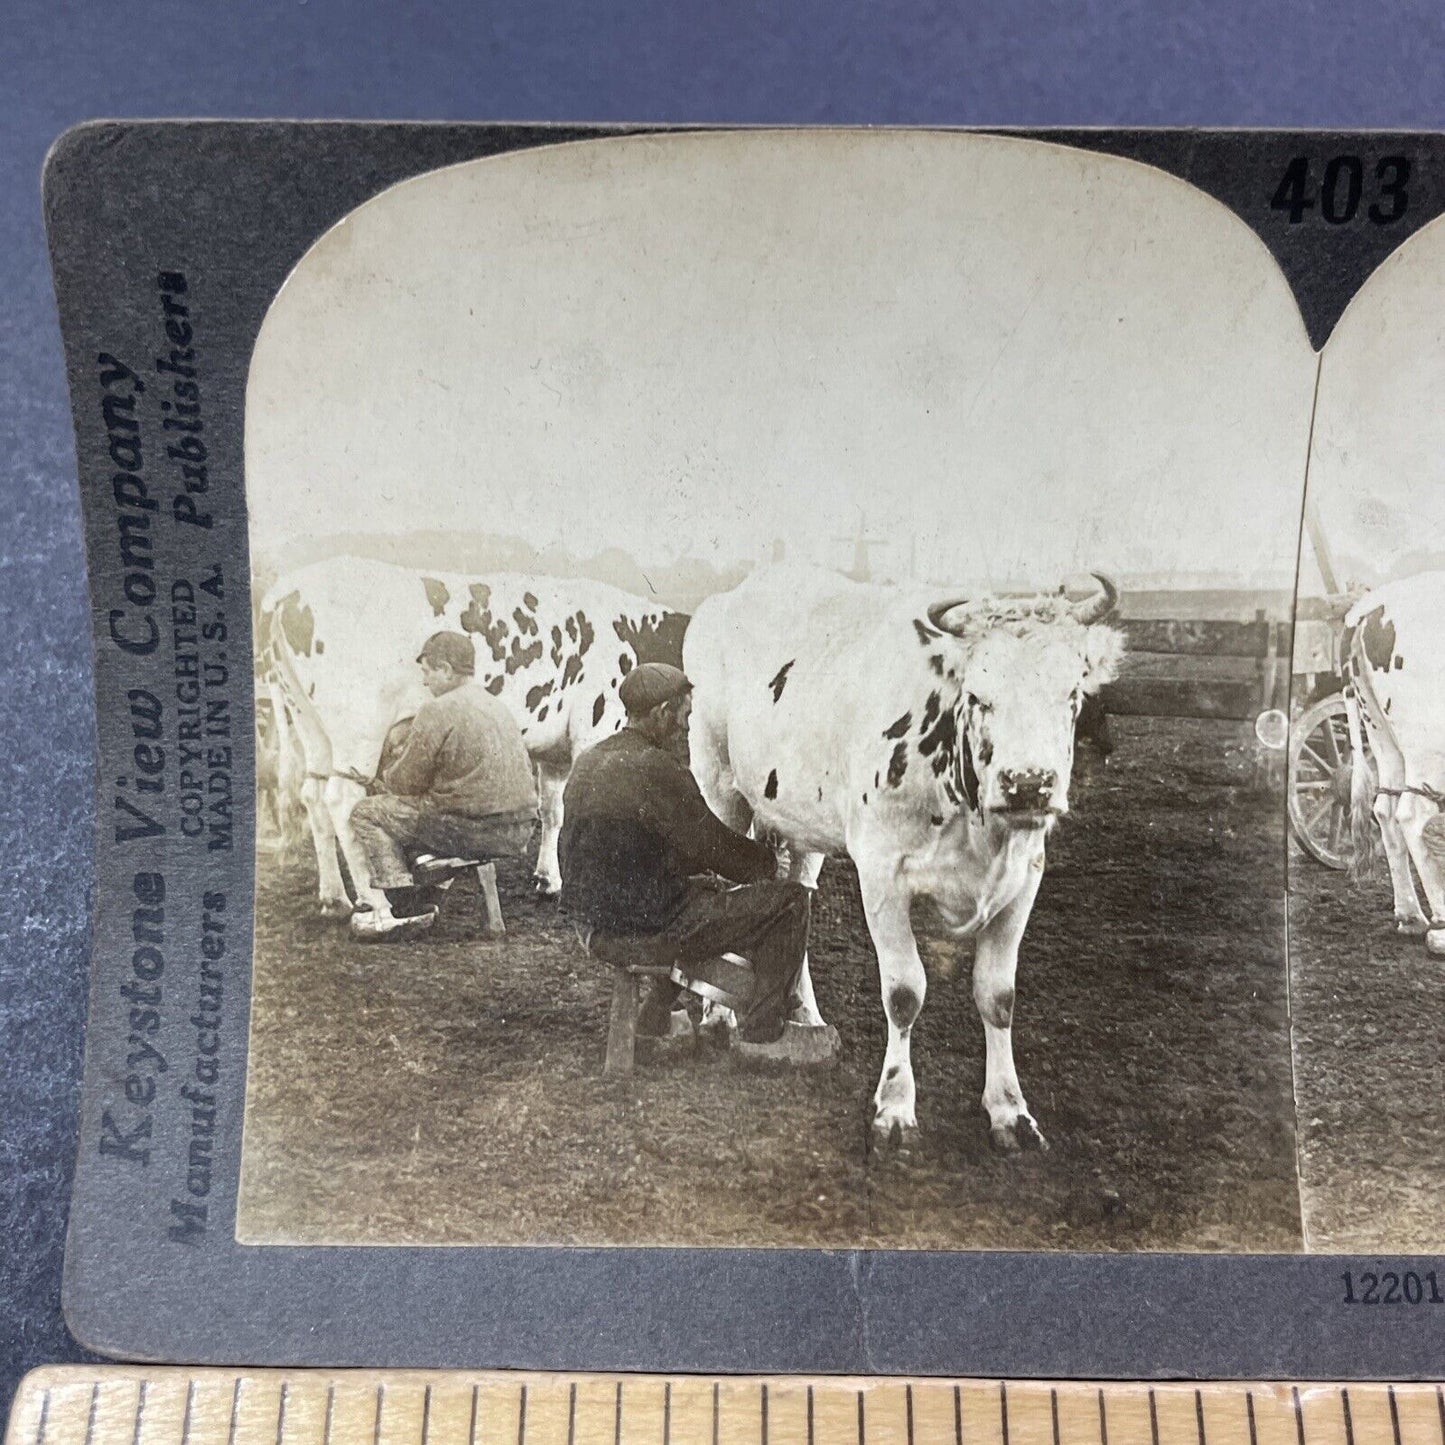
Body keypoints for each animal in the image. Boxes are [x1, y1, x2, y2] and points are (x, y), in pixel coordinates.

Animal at [261, 551, 687, 913]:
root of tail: (291, 588)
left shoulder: (554, 751)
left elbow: (553, 811)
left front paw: (549, 880)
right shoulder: (595, 729)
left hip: (308, 722)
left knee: (313, 795)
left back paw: (334, 899)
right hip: (358, 727)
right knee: (341, 800)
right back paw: (376, 904)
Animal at [682, 563, 1121, 1150]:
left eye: (1072, 693)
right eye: (978, 696)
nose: (1029, 784)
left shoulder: (1024, 878)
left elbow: (999, 996)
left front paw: (1010, 1110)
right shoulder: (882, 874)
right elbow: (904, 992)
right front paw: (893, 1107)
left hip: (801, 820)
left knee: (798, 891)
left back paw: (804, 1013)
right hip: (718, 787)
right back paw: (717, 1017)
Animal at [1340, 569, 1445, 953]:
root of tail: (1368, 608)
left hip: (1382, 735)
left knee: (1385, 808)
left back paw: (1411, 916)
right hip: (1428, 747)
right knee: (1414, 816)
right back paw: (1439, 931)